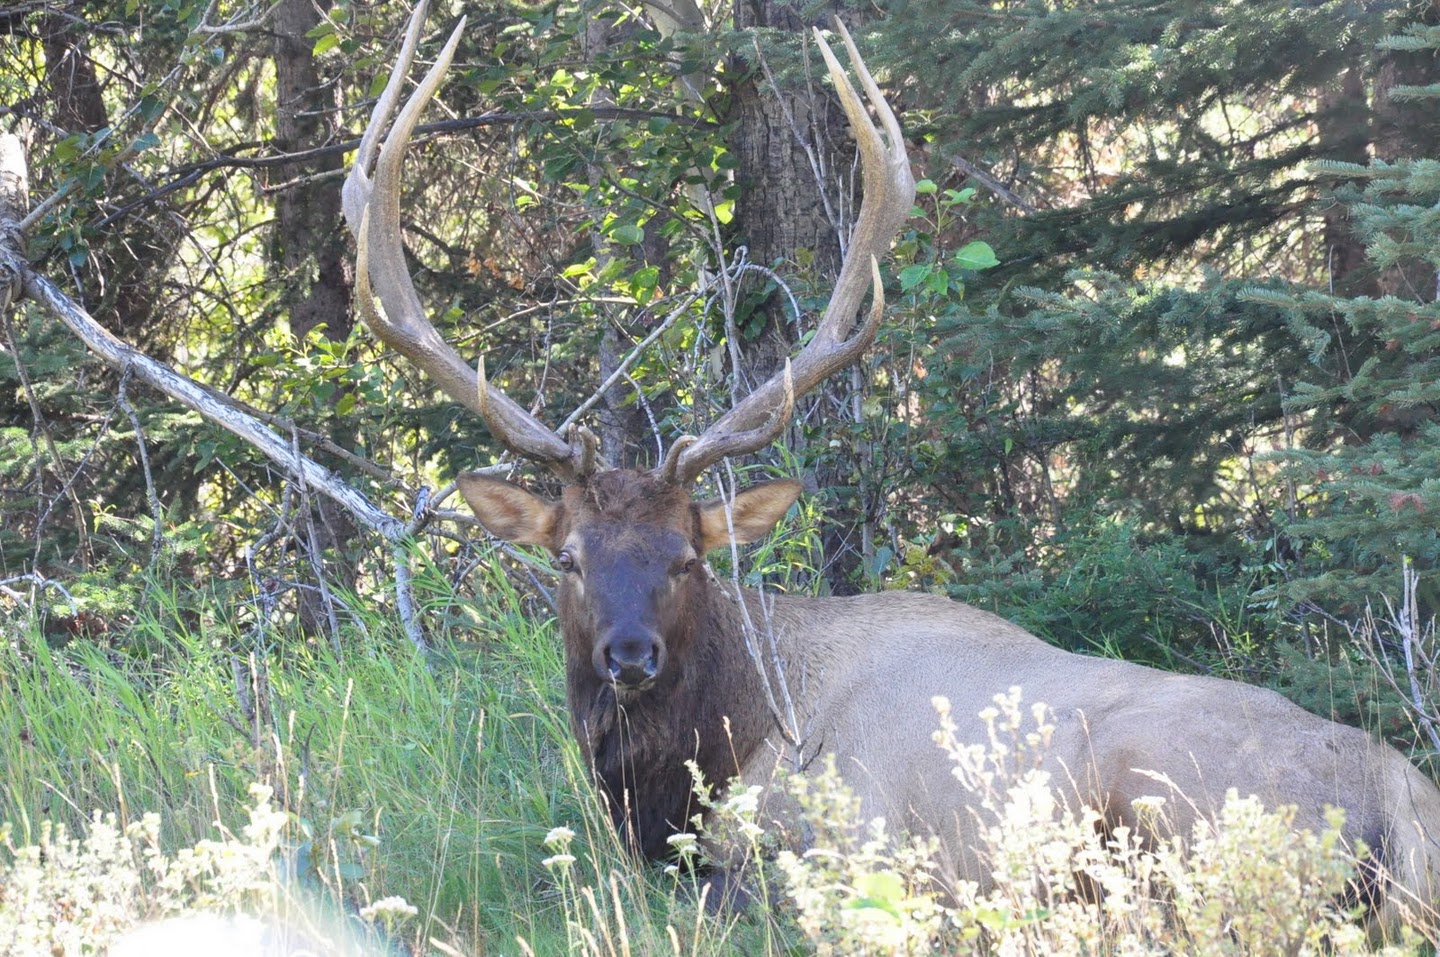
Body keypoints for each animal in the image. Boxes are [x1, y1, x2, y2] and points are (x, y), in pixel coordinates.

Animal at [342, 2, 1440, 931]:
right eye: (568, 558)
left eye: (687, 558)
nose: (629, 656)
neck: (720, 743)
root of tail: (1396, 807)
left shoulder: (825, 844)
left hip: (1166, 813)